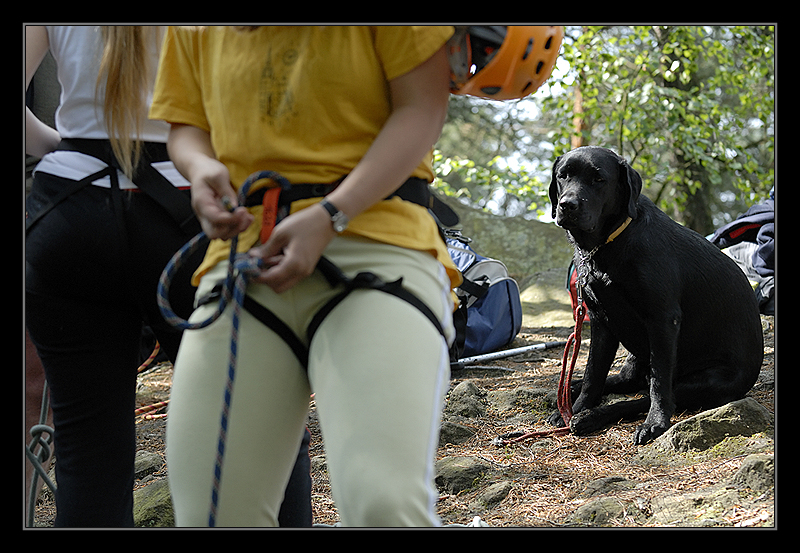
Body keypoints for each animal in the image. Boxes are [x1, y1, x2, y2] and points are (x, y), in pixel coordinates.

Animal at [552, 146, 764, 444]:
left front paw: (655, 422)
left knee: (649, 394)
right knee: (624, 380)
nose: (567, 205)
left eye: (598, 179)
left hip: (707, 380)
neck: (611, 242)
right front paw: (577, 406)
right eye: (563, 176)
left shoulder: (663, 319)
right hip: (636, 354)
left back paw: (593, 417)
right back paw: (572, 390)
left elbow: (659, 383)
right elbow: (594, 373)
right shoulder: (601, 320)